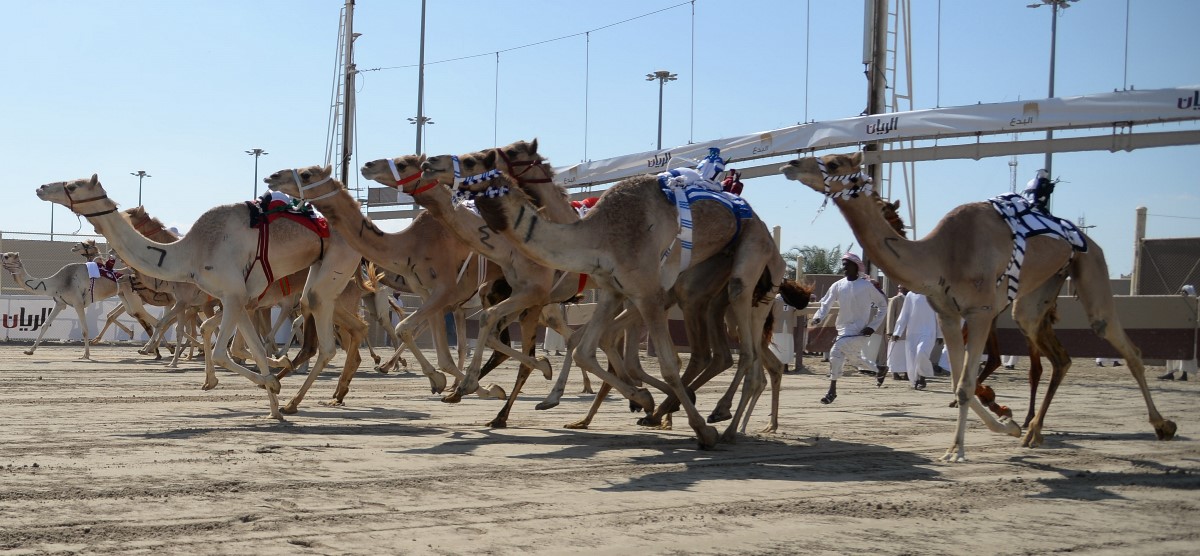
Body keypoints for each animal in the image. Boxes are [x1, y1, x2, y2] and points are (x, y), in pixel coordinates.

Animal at [39, 174, 362, 417]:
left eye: (73, 185)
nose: (41, 187)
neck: (190, 253)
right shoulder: (239, 299)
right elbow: (249, 347)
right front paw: (272, 404)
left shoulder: (231, 296)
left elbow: (222, 350)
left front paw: (270, 383)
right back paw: (310, 391)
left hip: (334, 269)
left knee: (328, 338)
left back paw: (303, 394)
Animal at [260, 164, 504, 401]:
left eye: (307, 174)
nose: (272, 177)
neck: (411, 244)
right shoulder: (441, 300)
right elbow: (422, 338)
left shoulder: (447, 297)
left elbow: (409, 329)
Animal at [782, 151, 1176, 461]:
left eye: (834, 162)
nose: (791, 163)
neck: (939, 256)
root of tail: (1083, 236)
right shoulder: (949, 314)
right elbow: (959, 382)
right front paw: (1007, 424)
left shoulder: (981, 312)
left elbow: (965, 384)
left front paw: (957, 449)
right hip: (1035, 297)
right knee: (1058, 355)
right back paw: (1033, 432)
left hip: (1090, 264)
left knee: (1120, 340)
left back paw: (1163, 425)